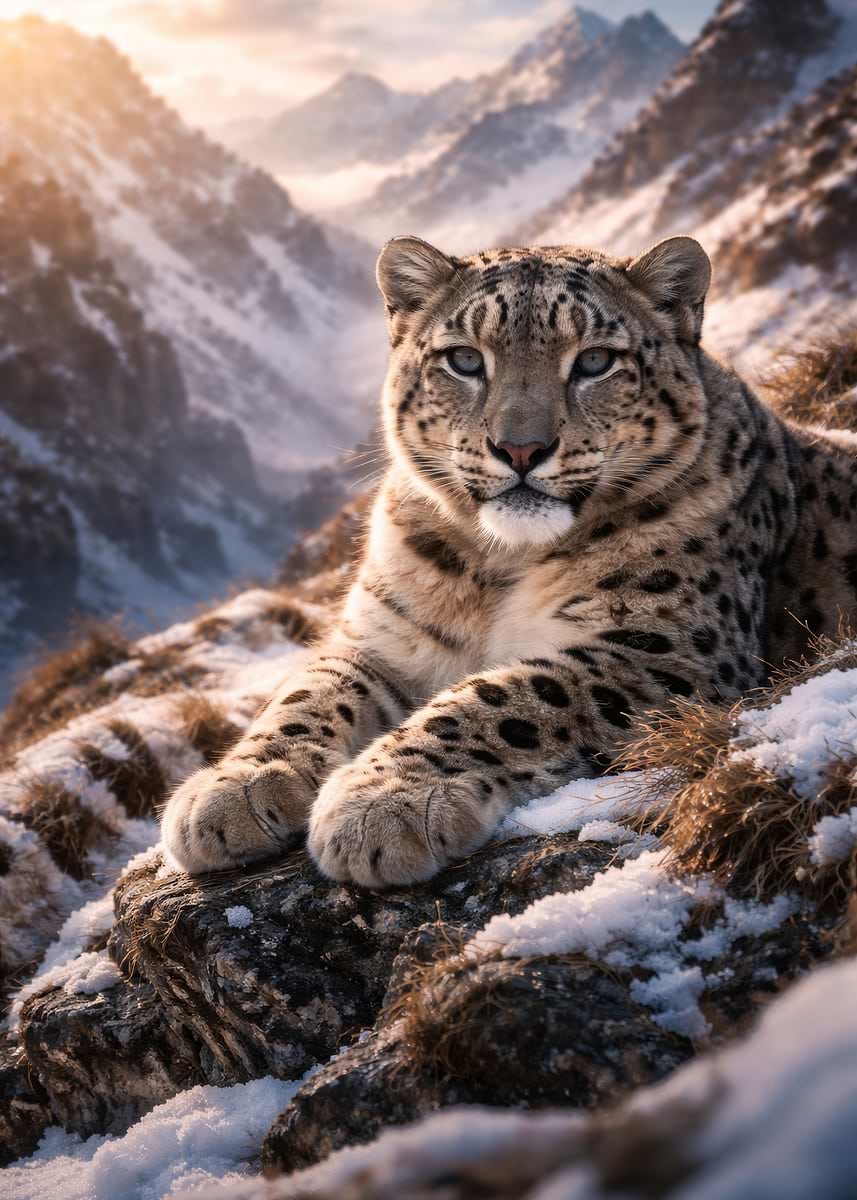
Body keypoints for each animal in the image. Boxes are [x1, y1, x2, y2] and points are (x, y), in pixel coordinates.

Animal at [162, 234, 857, 888]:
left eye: (596, 360)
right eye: (464, 359)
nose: (521, 449)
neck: (495, 570)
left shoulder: (668, 650)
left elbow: (504, 696)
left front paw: (383, 802)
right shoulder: (381, 637)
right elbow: (305, 693)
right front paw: (233, 790)